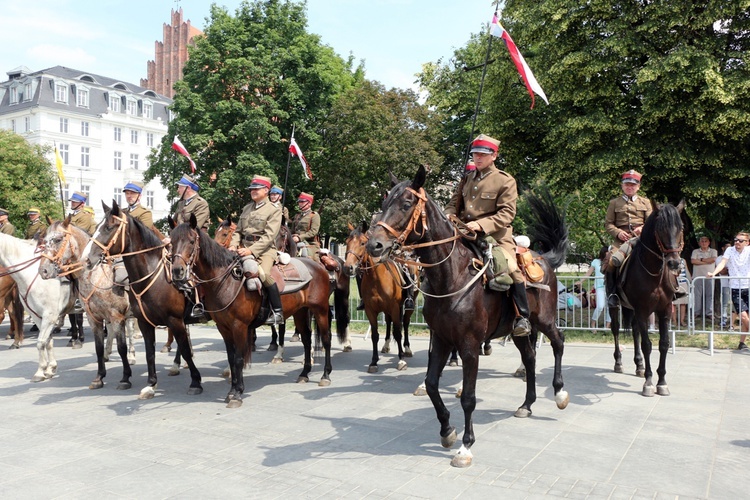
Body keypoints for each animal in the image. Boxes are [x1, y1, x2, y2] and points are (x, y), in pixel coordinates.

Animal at [0, 232, 75, 380]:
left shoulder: (49, 316)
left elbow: (40, 342)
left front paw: (40, 371)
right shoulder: (37, 316)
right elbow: (48, 341)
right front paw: (50, 368)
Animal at [82, 201, 203, 400]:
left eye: (108, 227)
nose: (85, 259)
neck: (152, 276)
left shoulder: (173, 320)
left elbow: (185, 348)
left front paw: (195, 381)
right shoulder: (144, 322)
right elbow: (149, 353)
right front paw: (151, 384)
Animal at [172, 214, 340, 402]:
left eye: (191, 241)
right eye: (172, 242)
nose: (177, 270)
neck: (225, 281)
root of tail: (317, 266)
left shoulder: (239, 326)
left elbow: (239, 358)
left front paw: (237, 393)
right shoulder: (223, 327)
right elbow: (231, 357)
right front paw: (232, 390)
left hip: (320, 310)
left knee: (326, 339)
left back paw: (325, 375)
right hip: (300, 312)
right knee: (306, 339)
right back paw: (304, 373)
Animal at [366, 166, 568, 466]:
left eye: (406, 204)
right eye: (383, 203)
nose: (375, 245)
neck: (452, 275)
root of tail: (544, 258)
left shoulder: (470, 346)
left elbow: (469, 398)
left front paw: (465, 445)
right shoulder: (441, 339)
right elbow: (431, 384)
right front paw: (447, 430)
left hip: (544, 319)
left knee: (558, 343)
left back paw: (560, 392)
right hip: (520, 329)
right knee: (530, 358)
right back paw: (526, 404)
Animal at [612, 201, 688, 396]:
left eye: (681, 227)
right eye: (660, 228)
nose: (674, 263)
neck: (655, 273)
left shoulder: (664, 310)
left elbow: (663, 344)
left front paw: (662, 382)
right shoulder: (642, 310)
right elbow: (647, 344)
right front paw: (648, 382)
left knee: (635, 331)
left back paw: (639, 365)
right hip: (615, 306)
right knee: (615, 330)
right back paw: (619, 362)